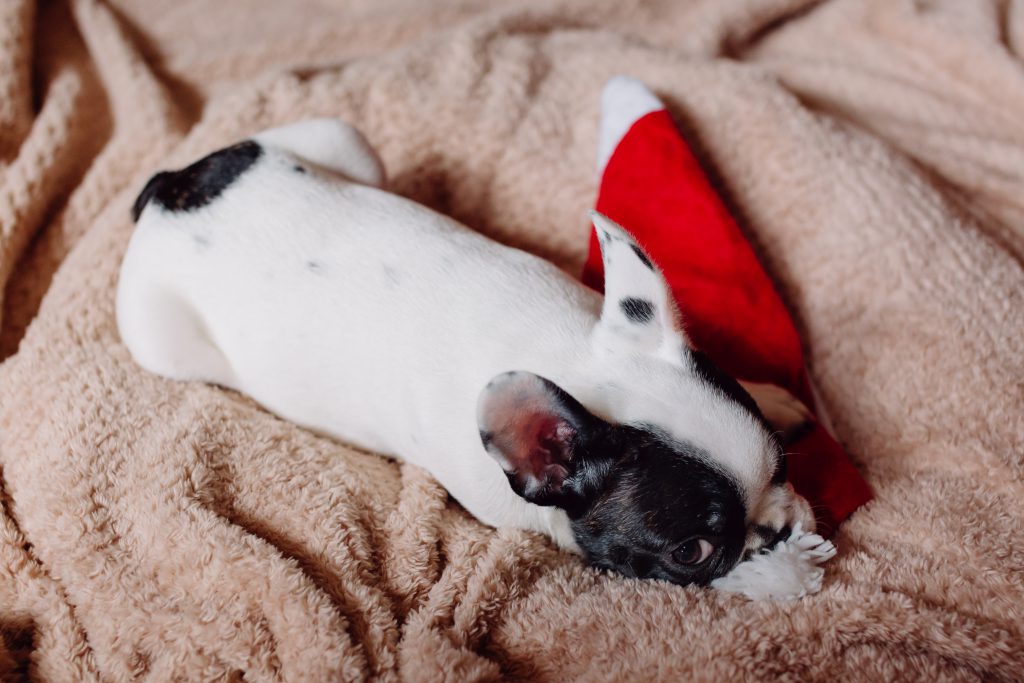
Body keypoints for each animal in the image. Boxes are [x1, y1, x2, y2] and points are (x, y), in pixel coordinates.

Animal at [117, 120, 831, 602]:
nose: (775, 529)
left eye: (780, 466)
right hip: (159, 339)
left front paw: (773, 395)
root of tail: (167, 194)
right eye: (693, 551)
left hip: (341, 140)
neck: (571, 360)